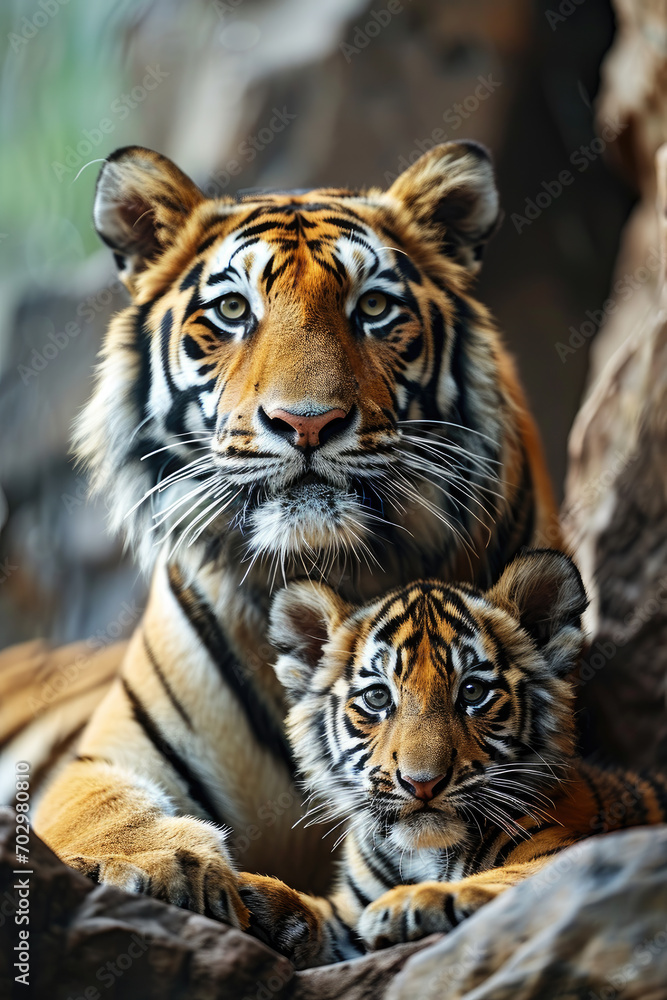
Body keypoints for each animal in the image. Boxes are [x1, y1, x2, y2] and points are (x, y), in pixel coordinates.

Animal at [3, 140, 560, 924]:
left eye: (374, 307)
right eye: (234, 309)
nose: (306, 422)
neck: (330, 571)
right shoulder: (103, 760)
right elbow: (109, 810)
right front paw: (158, 864)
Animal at [238, 548, 667, 968]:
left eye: (473, 691)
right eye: (377, 697)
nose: (422, 783)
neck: (422, 855)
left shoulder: (574, 851)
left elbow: (506, 877)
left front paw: (411, 902)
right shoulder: (347, 914)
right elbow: (324, 918)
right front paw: (252, 896)